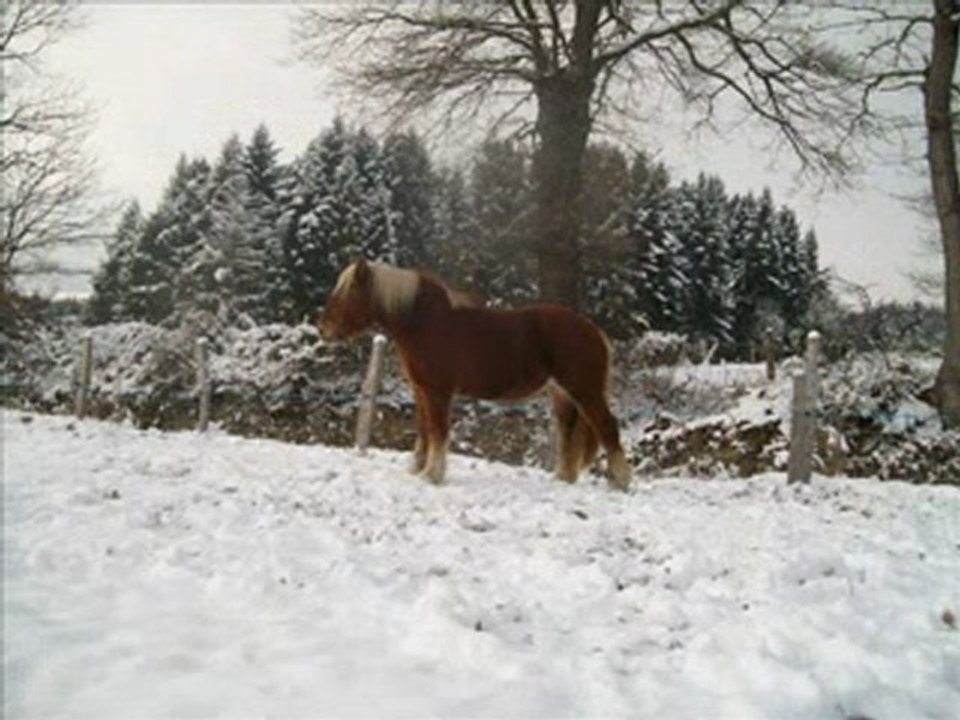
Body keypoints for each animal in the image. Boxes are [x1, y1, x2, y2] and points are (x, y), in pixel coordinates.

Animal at [317, 259, 632, 491]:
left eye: (348, 293)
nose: (323, 329)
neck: (425, 323)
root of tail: (594, 331)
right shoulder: (420, 390)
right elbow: (424, 429)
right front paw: (418, 469)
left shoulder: (439, 391)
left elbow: (439, 430)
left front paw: (433, 475)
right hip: (561, 393)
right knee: (567, 430)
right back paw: (563, 478)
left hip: (584, 389)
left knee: (607, 427)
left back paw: (621, 482)